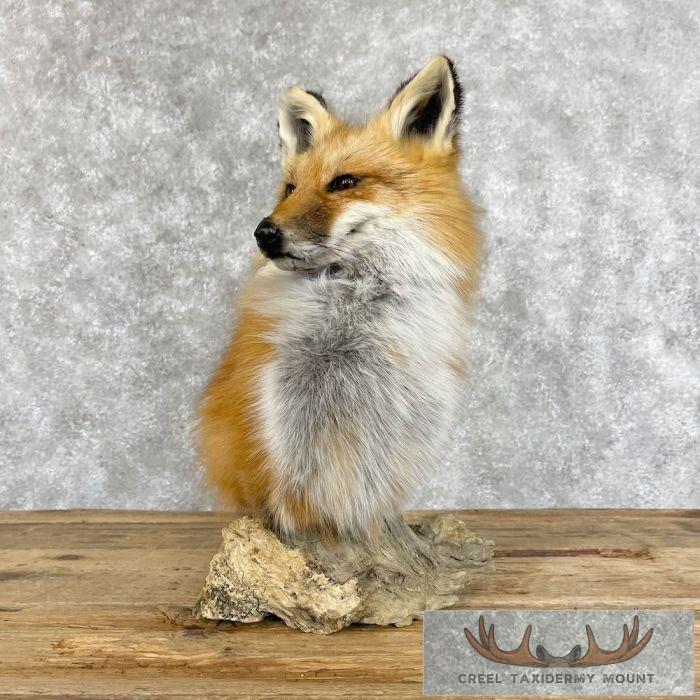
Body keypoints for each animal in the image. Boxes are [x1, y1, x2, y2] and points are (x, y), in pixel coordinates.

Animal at [198, 56, 481, 542]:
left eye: (344, 182)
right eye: (290, 189)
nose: (264, 233)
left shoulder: (402, 411)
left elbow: (370, 484)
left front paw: (368, 529)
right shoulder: (280, 403)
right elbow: (291, 488)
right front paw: (303, 533)